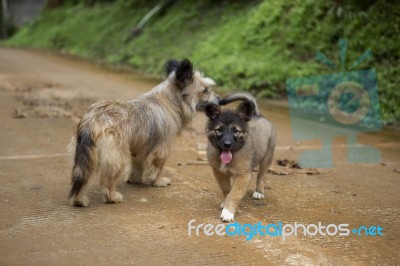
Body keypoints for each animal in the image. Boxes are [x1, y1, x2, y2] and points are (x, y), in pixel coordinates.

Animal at [69, 59, 219, 207]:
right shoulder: (162, 149)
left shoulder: (141, 147)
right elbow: (157, 167)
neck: (170, 101)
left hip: (86, 154)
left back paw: (79, 200)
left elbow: (138, 164)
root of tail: (93, 119)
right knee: (107, 179)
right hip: (116, 155)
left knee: (83, 176)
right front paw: (157, 182)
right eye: (205, 90)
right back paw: (112, 197)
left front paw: (135, 179)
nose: (219, 99)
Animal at [206, 92, 276, 221]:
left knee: (261, 176)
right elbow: (227, 189)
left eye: (235, 130)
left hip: (267, 157)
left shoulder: (244, 175)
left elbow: (234, 193)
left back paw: (259, 192)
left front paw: (228, 212)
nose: (227, 144)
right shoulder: (219, 172)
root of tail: (258, 115)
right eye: (219, 130)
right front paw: (225, 203)